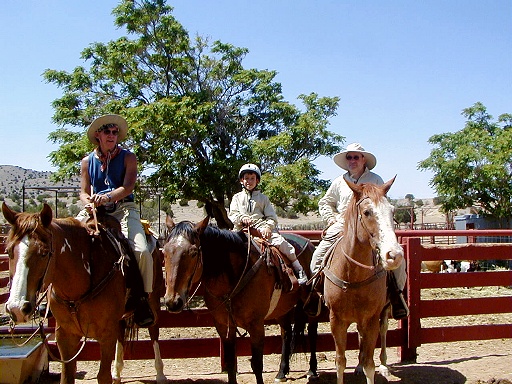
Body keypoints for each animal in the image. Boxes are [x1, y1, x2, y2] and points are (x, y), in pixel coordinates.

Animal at [2, 201, 165, 384]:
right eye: (8, 251)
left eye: (44, 253)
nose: (16, 308)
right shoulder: (65, 335)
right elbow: (67, 376)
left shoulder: (106, 335)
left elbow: (103, 376)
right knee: (122, 334)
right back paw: (117, 372)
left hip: (153, 301)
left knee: (154, 332)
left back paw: (160, 374)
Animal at [163, 216, 316, 384]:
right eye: (164, 251)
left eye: (193, 252)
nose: (173, 301)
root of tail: (309, 244)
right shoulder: (224, 326)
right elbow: (230, 362)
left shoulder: (256, 325)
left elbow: (257, 364)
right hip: (282, 308)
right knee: (286, 333)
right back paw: (281, 372)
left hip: (311, 303)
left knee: (312, 331)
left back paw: (312, 370)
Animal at [324, 179, 404, 384]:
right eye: (367, 212)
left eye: (392, 211)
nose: (394, 255)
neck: (353, 274)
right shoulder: (336, 320)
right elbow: (340, 361)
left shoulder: (371, 319)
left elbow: (370, 363)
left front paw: (371, 367)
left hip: (384, 311)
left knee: (383, 332)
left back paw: (384, 366)